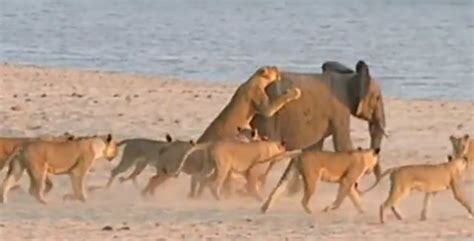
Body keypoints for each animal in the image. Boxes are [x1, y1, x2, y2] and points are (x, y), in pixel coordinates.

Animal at [250, 60, 386, 194]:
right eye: (377, 98)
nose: (363, 189)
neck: (351, 76)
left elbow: (314, 148)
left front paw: (295, 192)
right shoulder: (339, 111)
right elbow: (343, 146)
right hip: (268, 116)